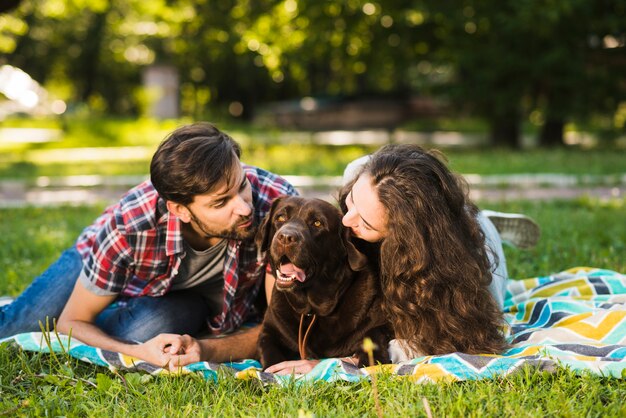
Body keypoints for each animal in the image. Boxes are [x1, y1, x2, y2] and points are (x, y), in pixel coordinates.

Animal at [255, 196, 390, 370]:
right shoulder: (269, 330)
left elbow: (374, 334)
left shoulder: (380, 322)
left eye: (317, 223)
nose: (285, 237)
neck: (312, 310)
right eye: (280, 218)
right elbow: (270, 354)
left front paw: (370, 361)